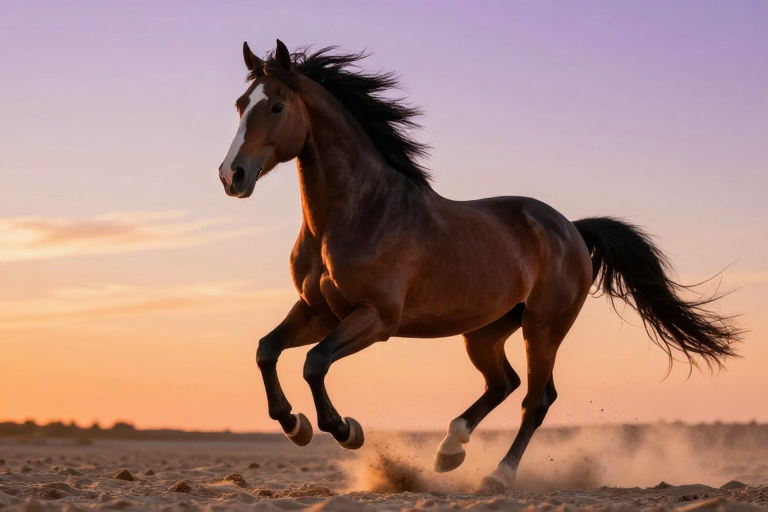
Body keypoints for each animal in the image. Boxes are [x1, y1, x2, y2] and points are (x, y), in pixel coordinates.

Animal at [218, 39, 740, 492]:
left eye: (277, 107)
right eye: (242, 105)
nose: (231, 176)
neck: (356, 213)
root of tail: (570, 228)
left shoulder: (376, 319)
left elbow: (314, 362)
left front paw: (345, 430)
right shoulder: (318, 311)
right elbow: (267, 351)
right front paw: (295, 425)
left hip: (543, 327)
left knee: (536, 399)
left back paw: (497, 475)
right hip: (485, 331)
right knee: (503, 383)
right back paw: (449, 451)